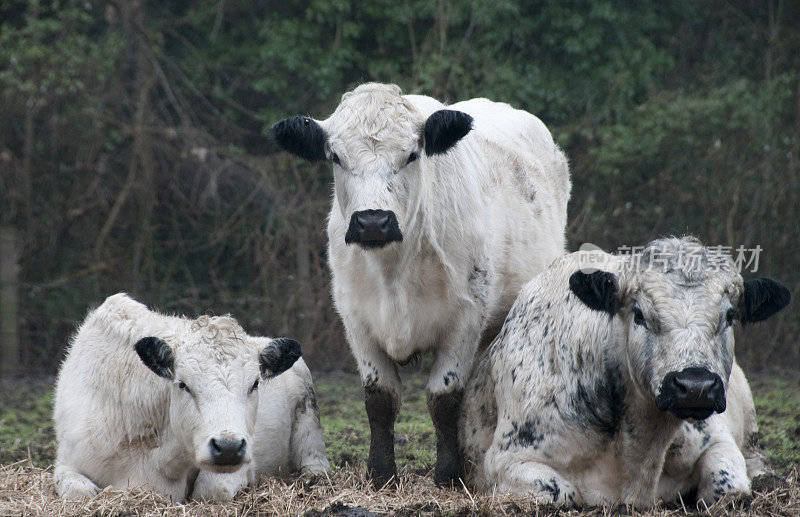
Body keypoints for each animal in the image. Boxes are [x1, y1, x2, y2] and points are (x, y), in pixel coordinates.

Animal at [53, 294, 330, 500]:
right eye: (183, 384)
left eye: (254, 384)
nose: (228, 447)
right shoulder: (67, 461)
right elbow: (80, 493)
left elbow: (213, 490)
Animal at [274, 82, 568, 486]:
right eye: (335, 156)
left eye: (412, 154)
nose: (373, 221)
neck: (393, 272)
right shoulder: (356, 319)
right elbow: (379, 398)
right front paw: (381, 473)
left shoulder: (465, 318)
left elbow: (444, 396)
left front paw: (448, 474)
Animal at [460, 239, 792, 508]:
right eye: (640, 314)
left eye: (729, 315)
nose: (694, 386)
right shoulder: (506, 460)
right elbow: (563, 493)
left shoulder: (717, 439)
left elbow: (728, 488)